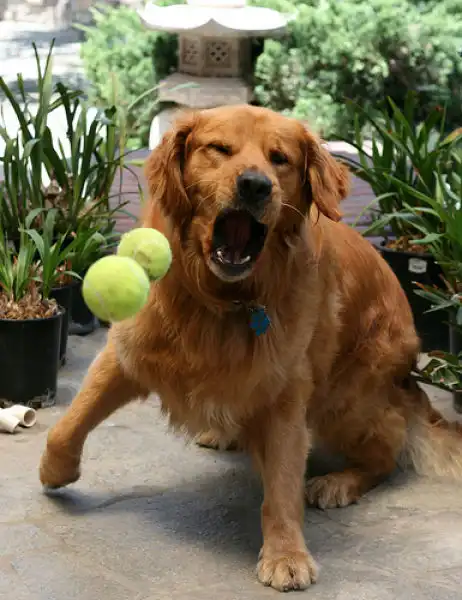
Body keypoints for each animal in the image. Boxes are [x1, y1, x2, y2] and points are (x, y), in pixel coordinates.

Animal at [40, 105, 462, 592]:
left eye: (280, 159)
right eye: (219, 149)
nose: (255, 185)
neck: (220, 300)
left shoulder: (285, 392)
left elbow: (282, 484)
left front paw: (286, 553)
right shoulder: (126, 352)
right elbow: (69, 422)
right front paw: (55, 470)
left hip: (345, 400)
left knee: (387, 450)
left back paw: (339, 481)